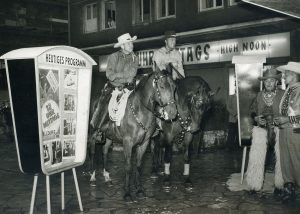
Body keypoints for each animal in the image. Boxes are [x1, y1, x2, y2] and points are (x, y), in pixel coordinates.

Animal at [91, 69, 176, 201]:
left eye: (174, 87)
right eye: (162, 86)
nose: (173, 113)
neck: (139, 110)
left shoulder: (144, 143)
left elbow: (139, 165)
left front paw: (139, 190)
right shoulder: (128, 143)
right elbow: (128, 166)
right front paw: (127, 193)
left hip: (109, 137)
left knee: (104, 151)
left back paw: (107, 177)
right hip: (94, 133)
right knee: (94, 152)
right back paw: (93, 178)